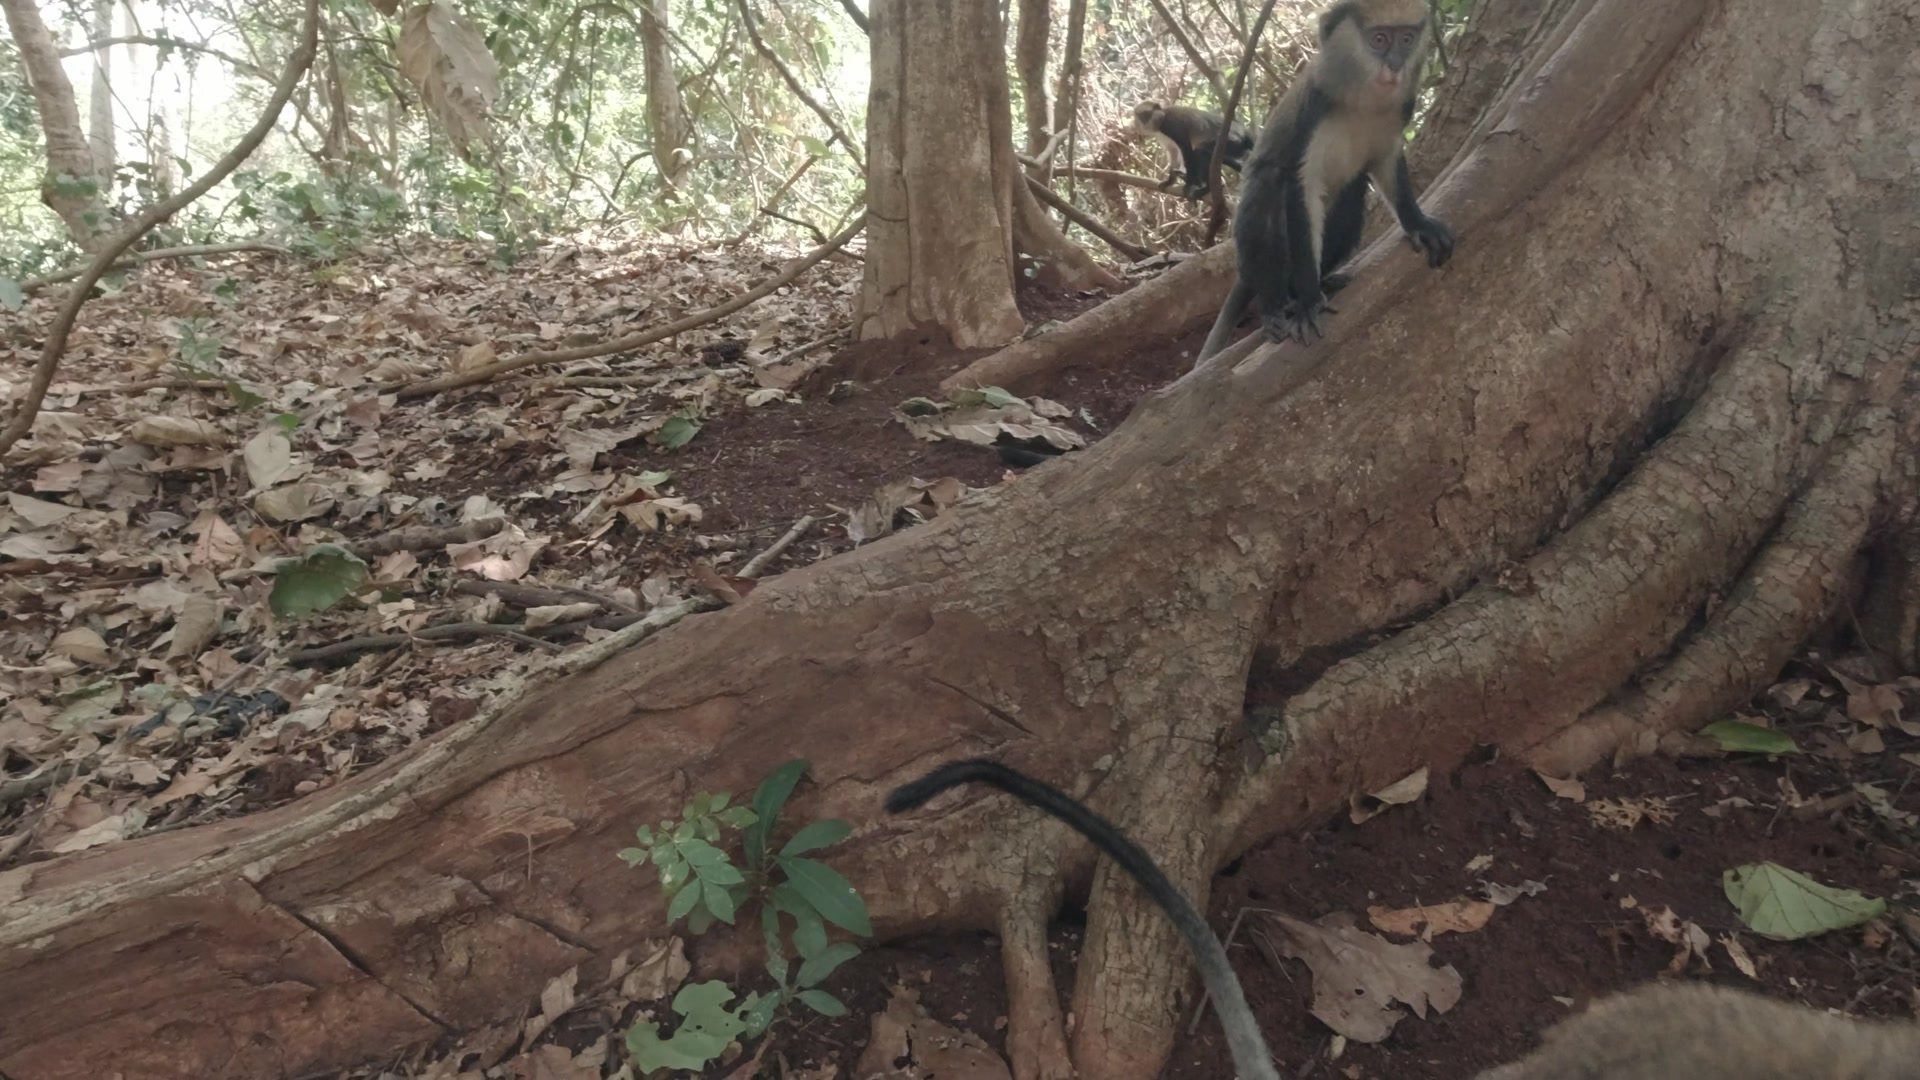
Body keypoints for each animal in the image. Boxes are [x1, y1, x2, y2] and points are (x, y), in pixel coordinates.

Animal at [1195, 0, 1454, 365]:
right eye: (1378, 40)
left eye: (1406, 40)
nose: (1395, 66)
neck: (1359, 100)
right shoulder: (1312, 114)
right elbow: (1301, 185)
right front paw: (1307, 302)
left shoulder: (1400, 112)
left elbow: (1387, 163)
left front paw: (1419, 225)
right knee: (1268, 184)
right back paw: (1278, 306)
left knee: (1352, 192)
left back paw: (1321, 285)